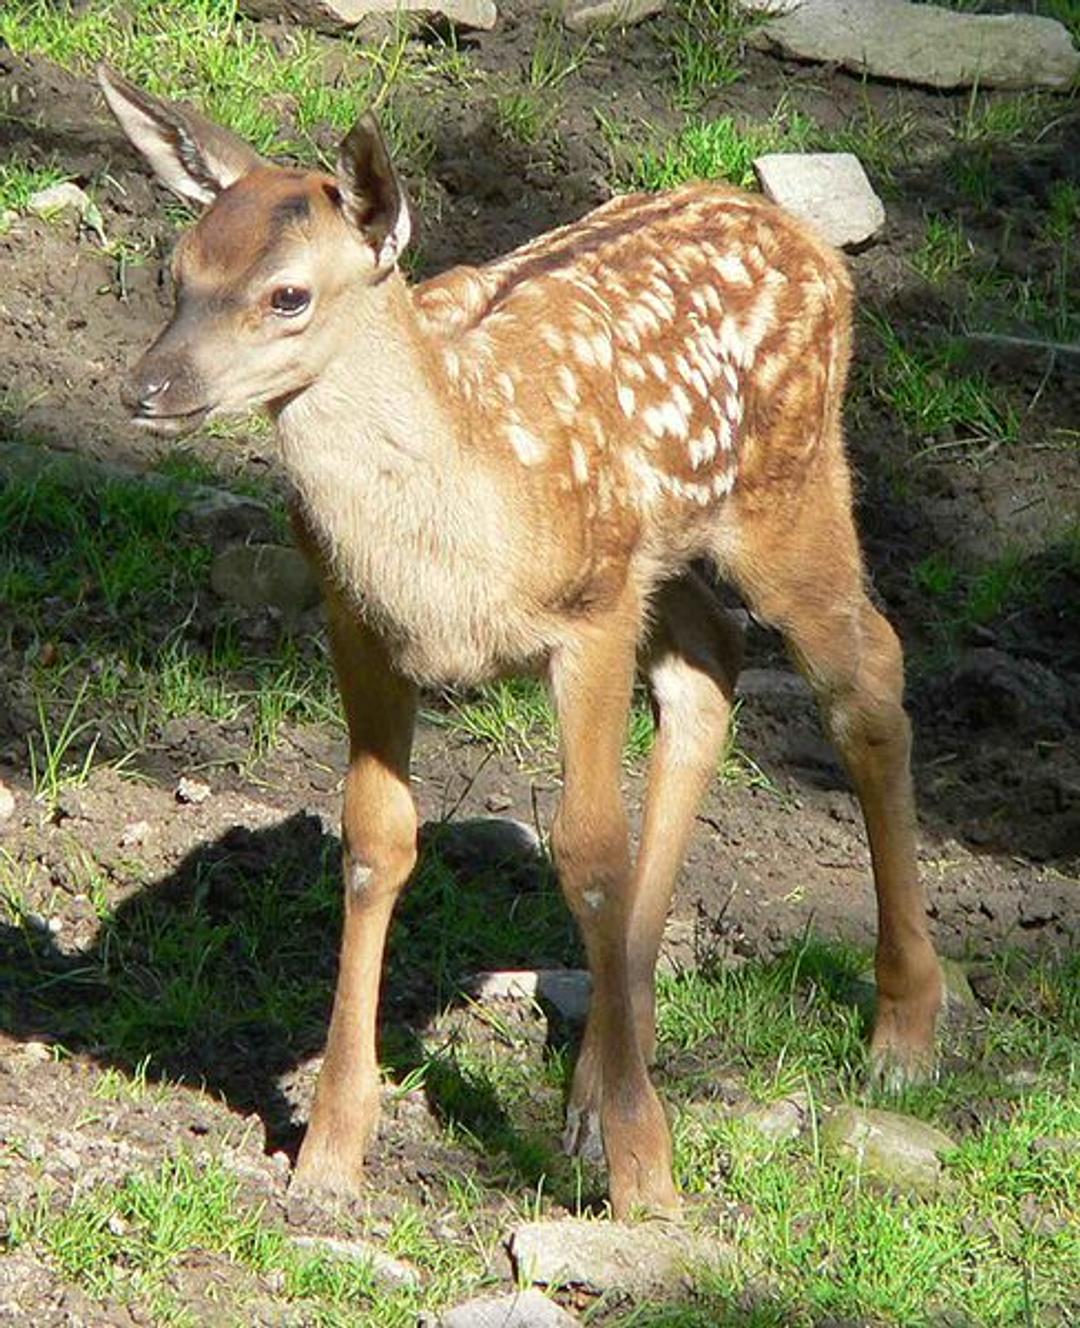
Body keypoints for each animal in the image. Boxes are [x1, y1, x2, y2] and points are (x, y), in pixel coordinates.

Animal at [98, 65, 943, 1220]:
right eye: (177, 271)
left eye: (287, 295)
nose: (147, 390)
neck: (453, 538)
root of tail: (809, 245)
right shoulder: (359, 621)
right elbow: (376, 840)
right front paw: (331, 1153)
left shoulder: (585, 617)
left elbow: (588, 851)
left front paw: (648, 1179)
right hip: (661, 553)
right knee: (712, 664)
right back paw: (593, 1081)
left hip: (785, 489)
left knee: (867, 672)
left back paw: (901, 1032)